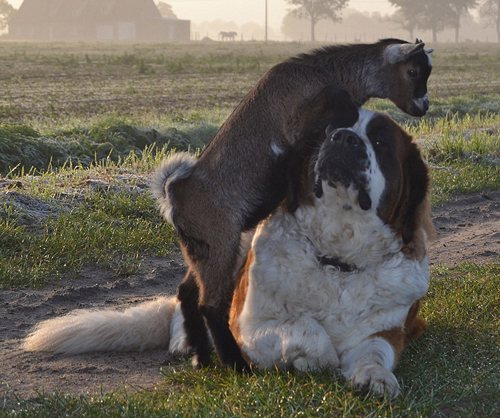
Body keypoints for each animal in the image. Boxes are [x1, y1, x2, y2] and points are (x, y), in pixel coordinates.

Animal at [151, 36, 434, 370]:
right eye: (413, 71)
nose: (423, 106)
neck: (324, 73)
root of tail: (174, 194)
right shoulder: (301, 119)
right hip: (219, 244)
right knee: (211, 304)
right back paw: (235, 364)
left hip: (202, 251)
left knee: (187, 292)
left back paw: (202, 357)